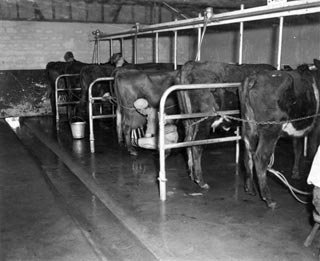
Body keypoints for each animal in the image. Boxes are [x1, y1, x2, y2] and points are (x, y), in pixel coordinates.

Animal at [175, 61, 276, 191]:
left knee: (188, 141)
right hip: (205, 119)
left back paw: (192, 175)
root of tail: (191, 64)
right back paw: (201, 181)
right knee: (196, 145)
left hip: (188, 121)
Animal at [240, 59, 320, 207]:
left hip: (248, 125)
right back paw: (268, 199)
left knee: (247, 153)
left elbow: (298, 148)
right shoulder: (317, 126)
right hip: (271, 130)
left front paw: (295, 172)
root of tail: (255, 77)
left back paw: (250, 188)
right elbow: (312, 150)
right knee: (260, 157)